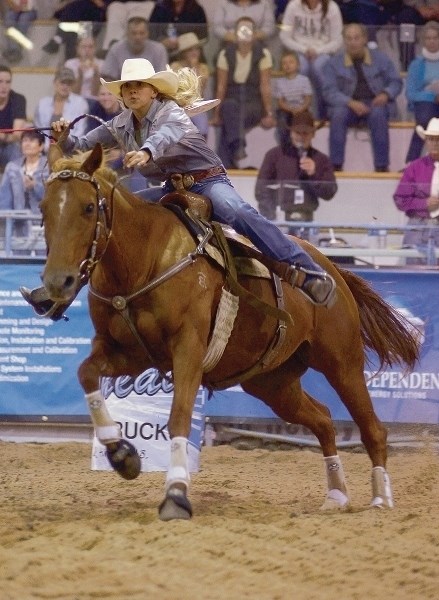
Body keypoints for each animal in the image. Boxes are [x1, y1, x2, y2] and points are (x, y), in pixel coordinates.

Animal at [40, 145, 420, 520]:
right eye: (43, 209)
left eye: (88, 207)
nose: (58, 281)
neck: (144, 259)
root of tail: (334, 269)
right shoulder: (127, 353)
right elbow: (87, 373)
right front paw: (122, 455)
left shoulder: (188, 350)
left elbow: (179, 417)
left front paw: (176, 493)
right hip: (272, 383)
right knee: (324, 419)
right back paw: (337, 495)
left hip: (342, 362)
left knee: (372, 428)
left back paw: (380, 498)